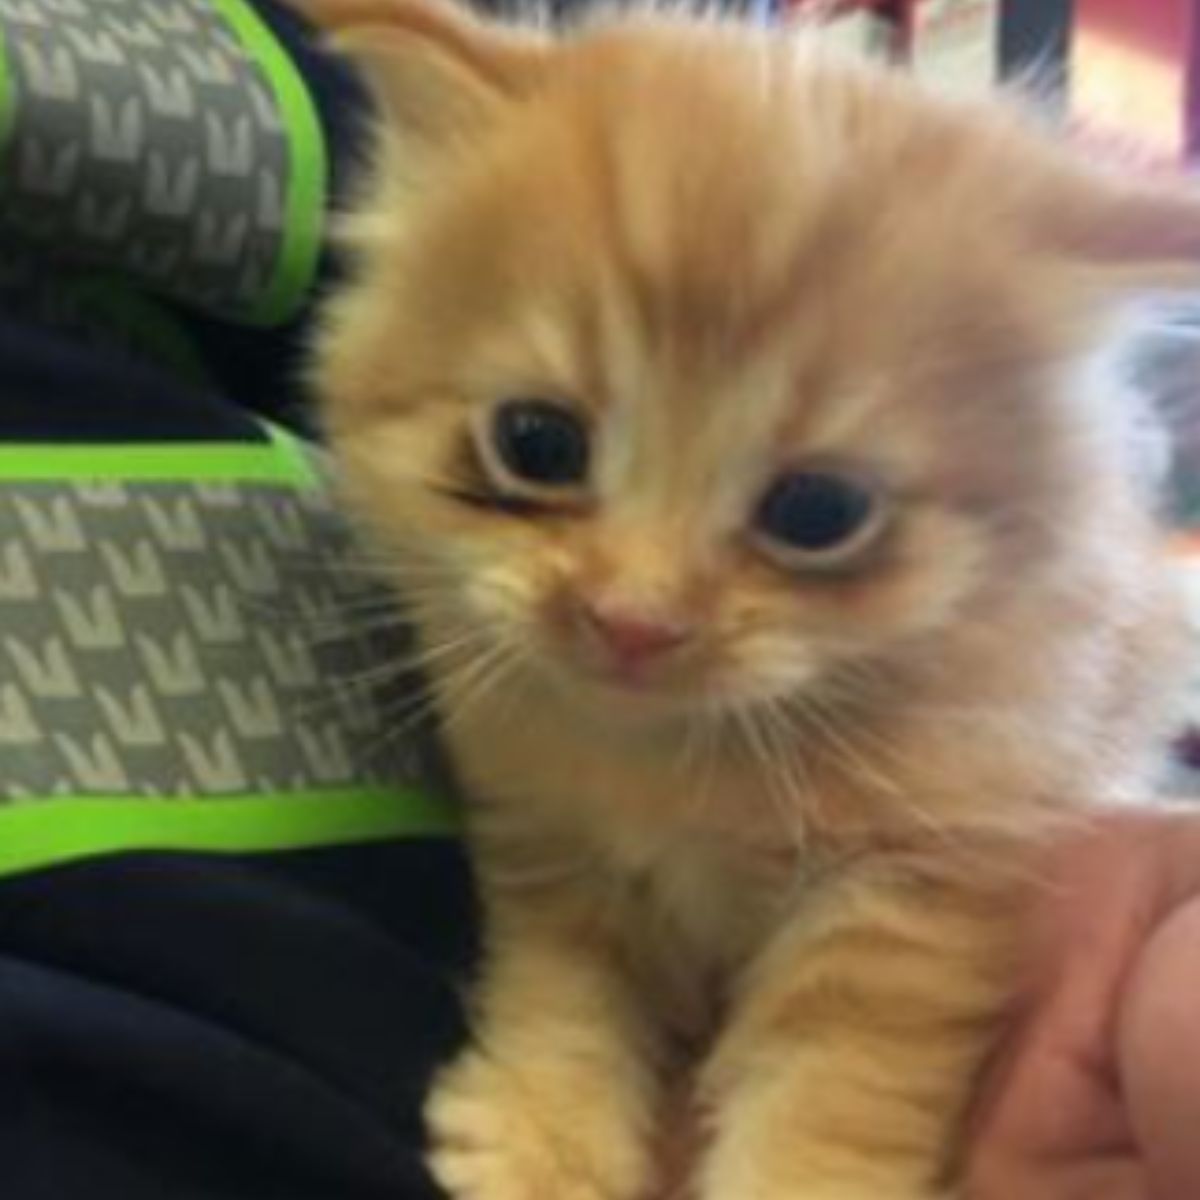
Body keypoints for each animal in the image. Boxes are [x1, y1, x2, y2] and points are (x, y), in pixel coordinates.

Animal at [307, 4, 1190, 1195]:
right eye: (536, 442)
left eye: (817, 512)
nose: (632, 620)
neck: (684, 761)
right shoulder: (547, 835)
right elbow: (564, 985)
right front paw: (547, 1129)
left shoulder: (918, 876)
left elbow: (835, 1079)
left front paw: (797, 1176)